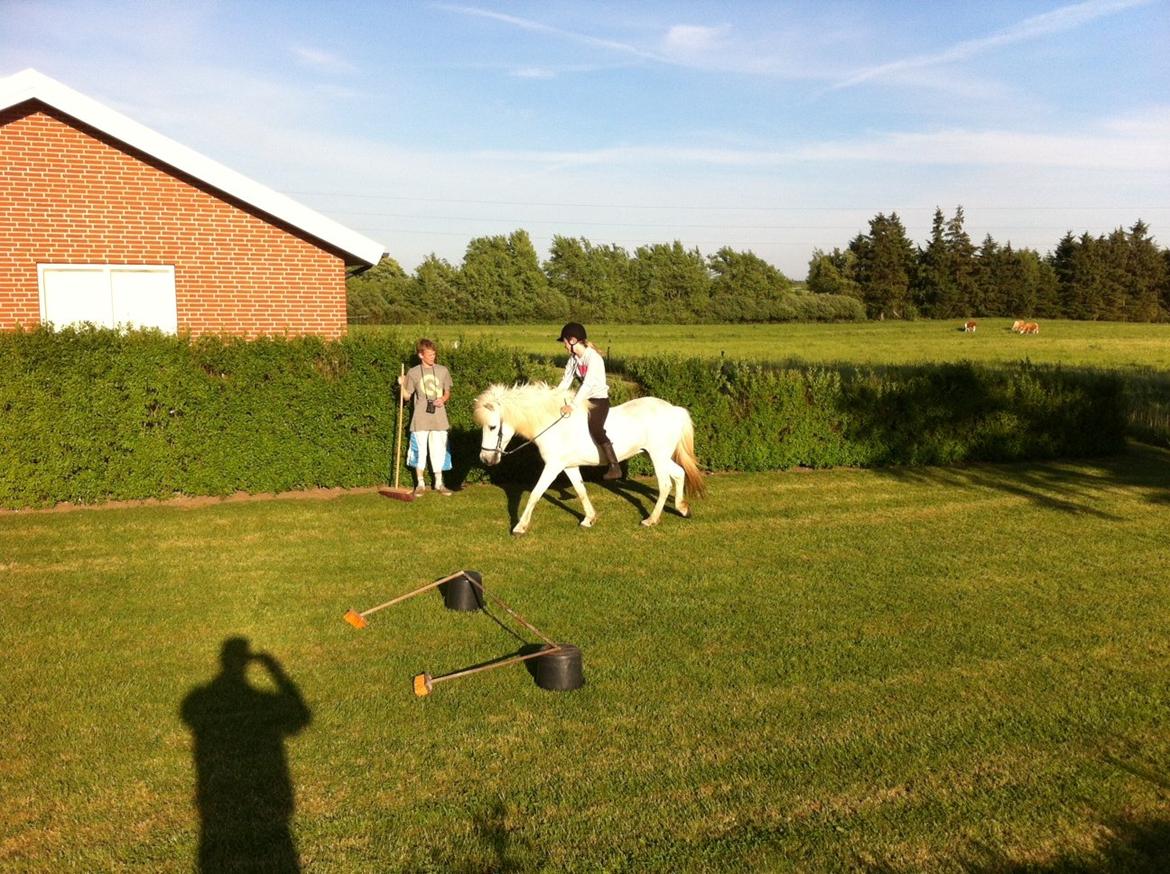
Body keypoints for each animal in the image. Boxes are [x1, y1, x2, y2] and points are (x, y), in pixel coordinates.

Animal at [475, 383, 702, 535]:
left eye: (492, 427)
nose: (485, 459)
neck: (553, 424)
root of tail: (674, 410)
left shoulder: (553, 466)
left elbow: (535, 494)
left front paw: (520, 527)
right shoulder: (569, 466)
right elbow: (581, 490)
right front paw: (589, 519)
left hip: (657, 457)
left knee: (665, 484)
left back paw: (651, 519)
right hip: (656, 455)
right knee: (679, 473)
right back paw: (682, 509)